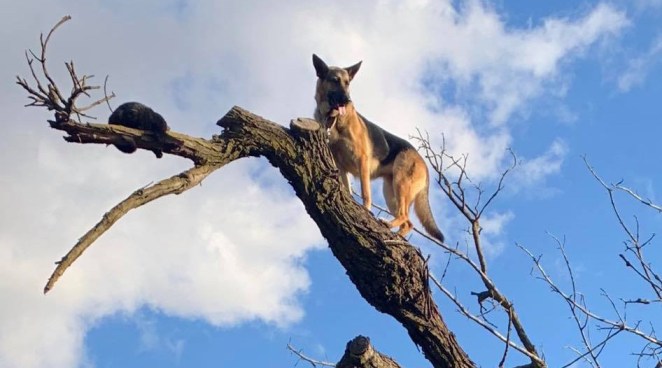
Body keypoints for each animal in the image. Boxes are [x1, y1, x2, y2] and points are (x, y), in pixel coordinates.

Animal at [314, 54, 448, 242]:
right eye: (335, 80)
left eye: (348, 83)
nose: (348, 100)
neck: (334, 121)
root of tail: (422, 161)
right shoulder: (340, 167)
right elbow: (347, 190)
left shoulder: (362, 161)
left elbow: (365, 193)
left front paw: (365, 209)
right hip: (390, 192)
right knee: (408, 223)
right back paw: (395, 235)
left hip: (400, 185)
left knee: (406, 217)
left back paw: (388, 226)